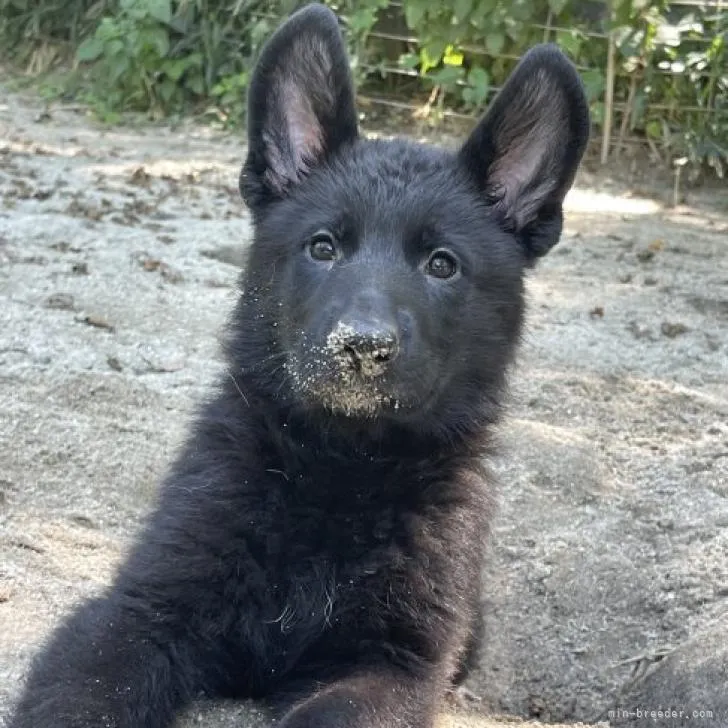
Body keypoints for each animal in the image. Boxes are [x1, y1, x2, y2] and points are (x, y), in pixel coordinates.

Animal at [11, 5, 588, 728]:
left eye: (442, 265)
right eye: (322, 247)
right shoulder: (140, 612)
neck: (339, 470)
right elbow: (85, 693)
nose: (361, 347)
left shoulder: (389, 666)